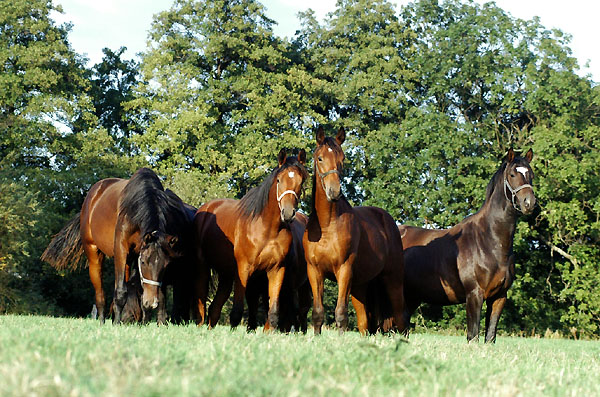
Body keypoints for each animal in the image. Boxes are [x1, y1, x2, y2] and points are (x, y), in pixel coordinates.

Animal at [41, 167, 190, 322]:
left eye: (165, 265)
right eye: (143, 262)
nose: (152, 302)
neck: (137, 208)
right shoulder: (121, 250)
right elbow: (120, 292)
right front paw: (117, 323)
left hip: (127, 262)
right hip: (94, 253)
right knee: (100, 293)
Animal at [191, 148, 308, 328]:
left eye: (301, 182)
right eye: (279, 180)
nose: (288, 213)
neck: (267, 230)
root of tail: (205, 209)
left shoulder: (276, 270)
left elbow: (273, 312)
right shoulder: (243, 270)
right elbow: (237, 312)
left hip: (226, 275)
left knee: (214, 308)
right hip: (203, 267)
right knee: (201, 307)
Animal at [304, 127, 408, 334]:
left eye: (342, 158)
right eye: (320, 158)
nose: (334, 191)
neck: (326, 227)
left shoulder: (344, 270)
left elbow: (340, 313)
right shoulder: (314, 271)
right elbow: (318, 313)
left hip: (393, 280)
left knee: (400, 318)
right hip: (361, 286)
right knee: (364, 323)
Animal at [398, 147, 536, 342]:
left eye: (531, 174)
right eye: (512, 174)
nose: (529, 203)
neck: (490, 242)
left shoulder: (499, 297)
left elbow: (490, 336)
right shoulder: (474, 295)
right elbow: (473, 335)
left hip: (412, 296)